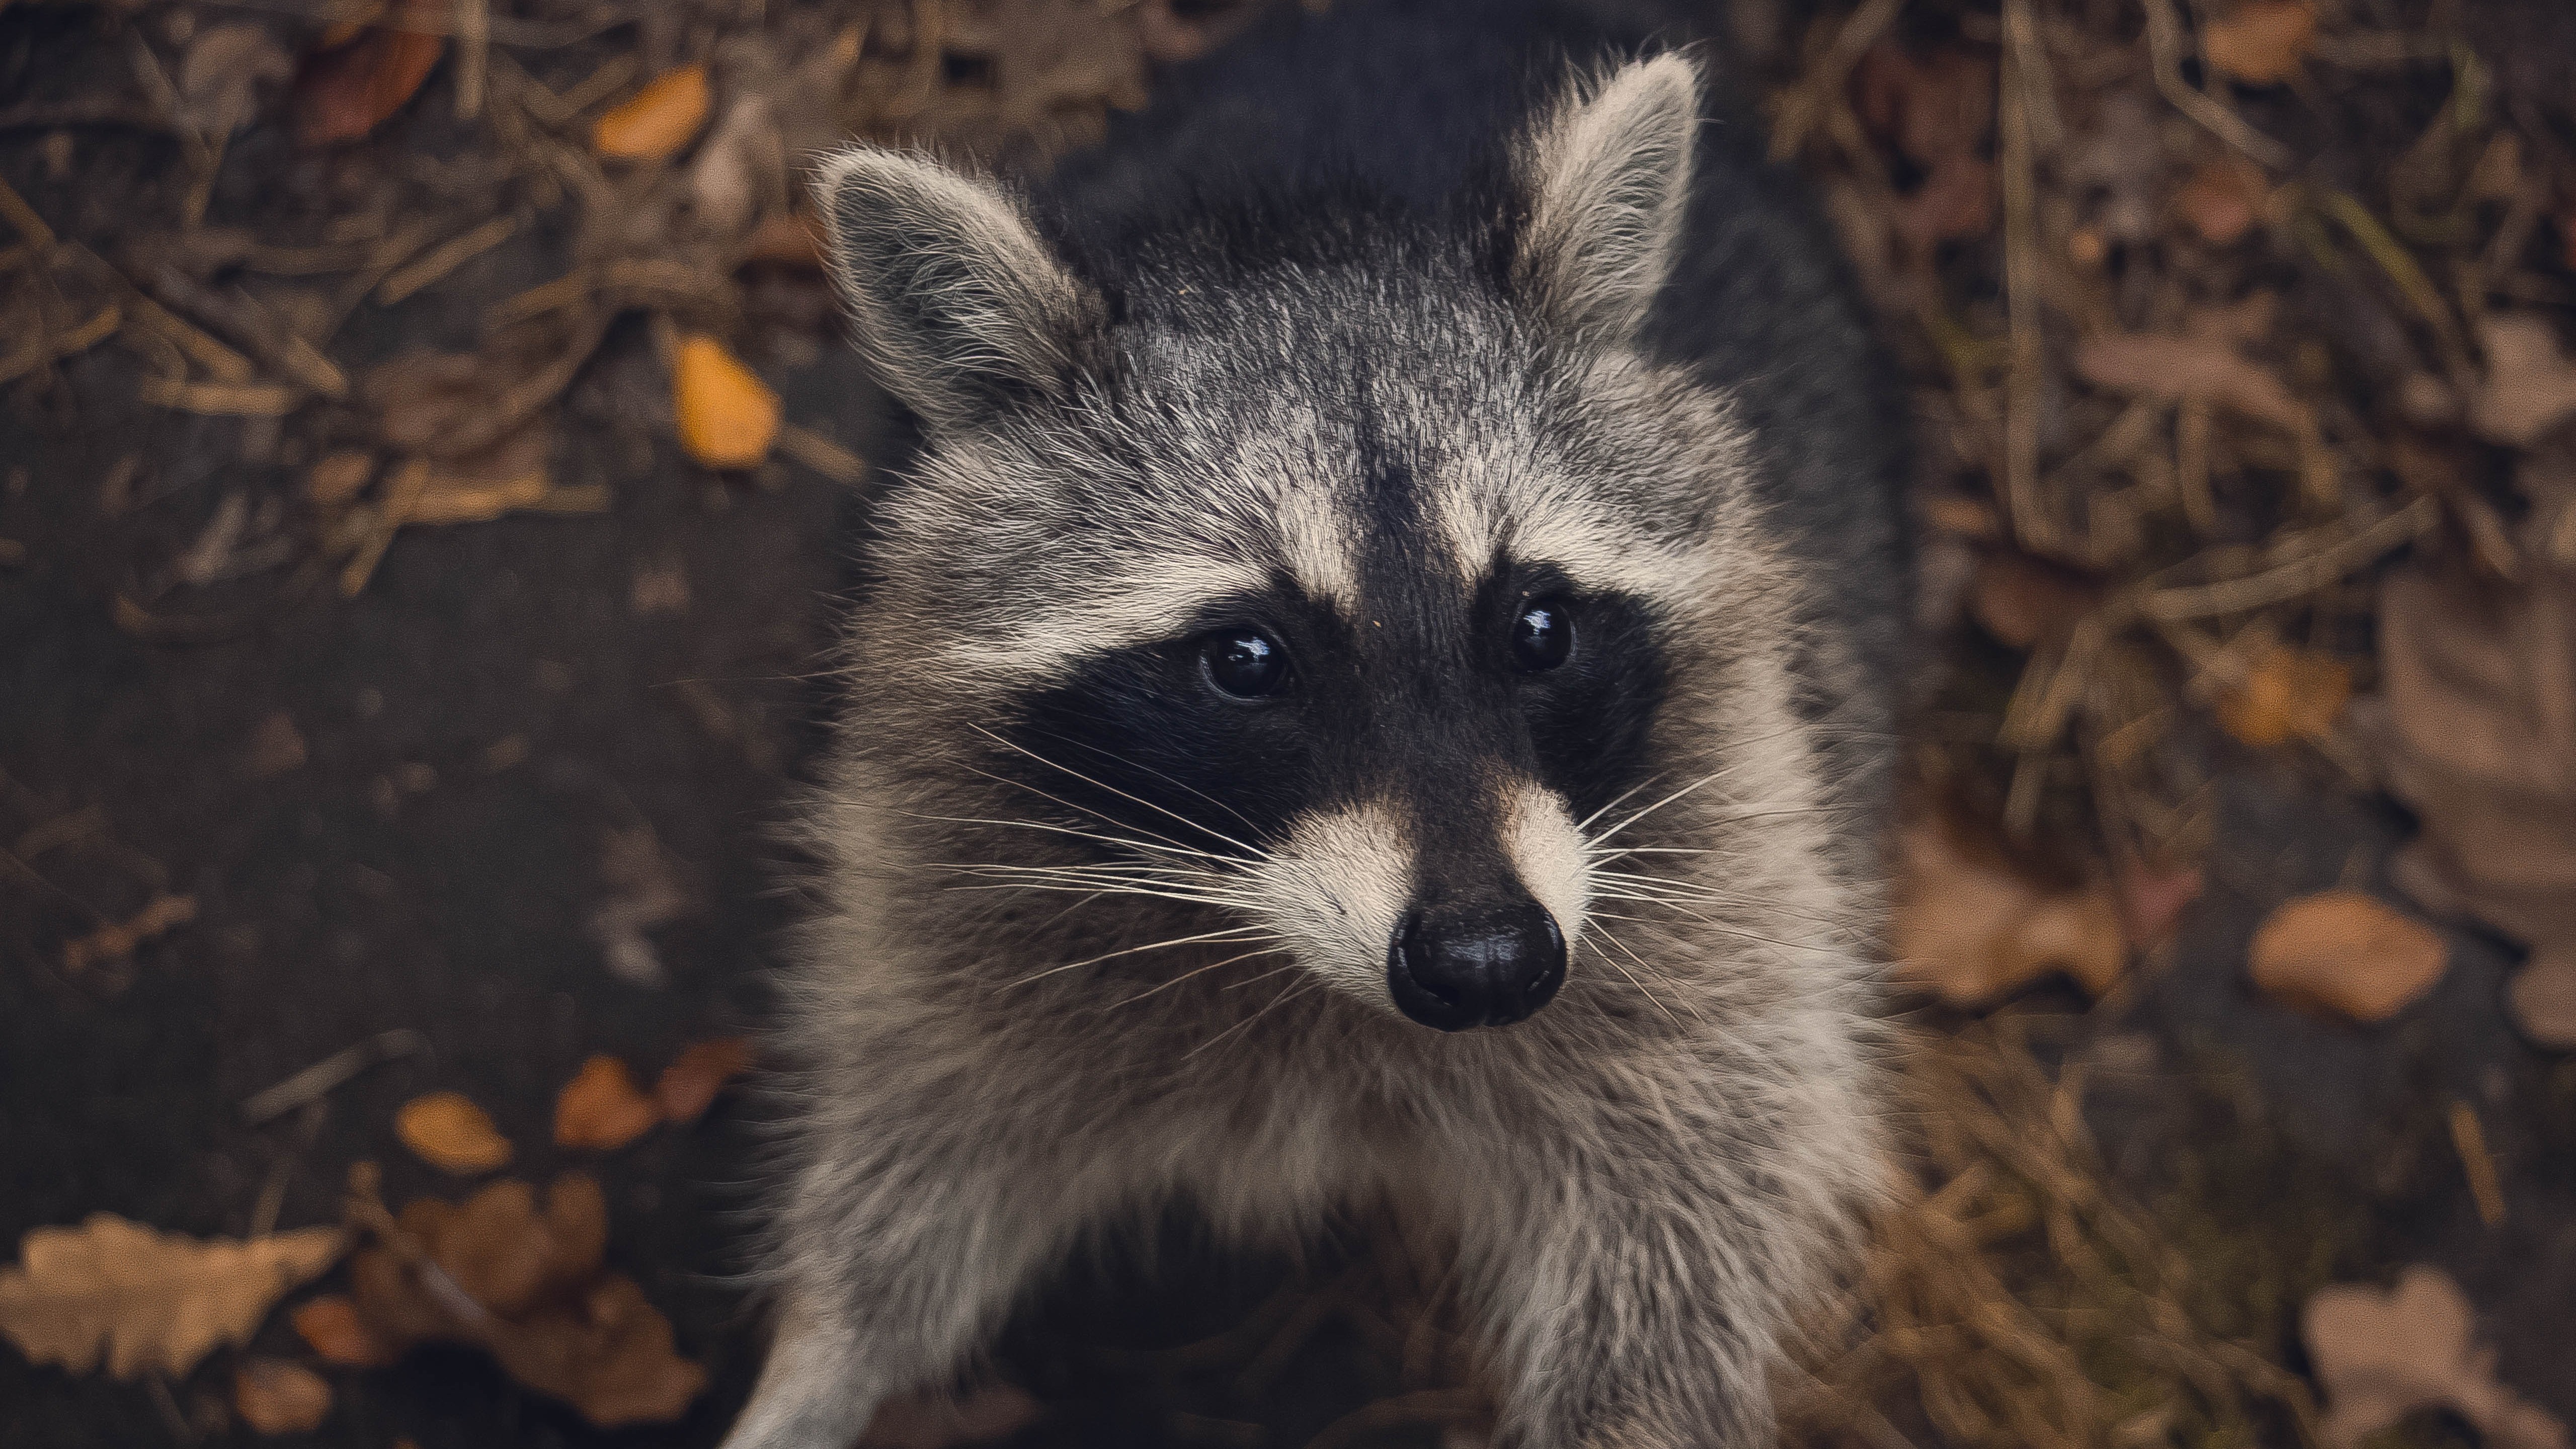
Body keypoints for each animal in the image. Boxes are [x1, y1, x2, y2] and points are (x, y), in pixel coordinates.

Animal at [729, 1, 1910, 1445]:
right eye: (1246, 659)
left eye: (1537, 628)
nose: (1487, 963)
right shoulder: (947, 870)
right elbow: (909, 1156)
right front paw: (817, 1363)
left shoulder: (1731, 850)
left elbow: (1690, 1217)